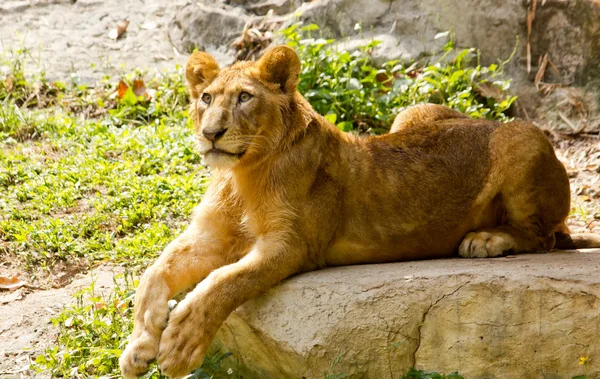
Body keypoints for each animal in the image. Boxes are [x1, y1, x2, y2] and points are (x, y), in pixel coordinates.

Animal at [119, 45, 600, 379]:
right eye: (205, 97)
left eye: (243, 98)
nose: (211, 133)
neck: (240, 174)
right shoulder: (211, 236)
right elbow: (153, 274)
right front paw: (139, 346)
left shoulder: (293, 245)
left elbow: (224, 281)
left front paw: (179, 344)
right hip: (414, 112)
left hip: (524, 138)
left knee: (546, 236)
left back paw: (485, 239)